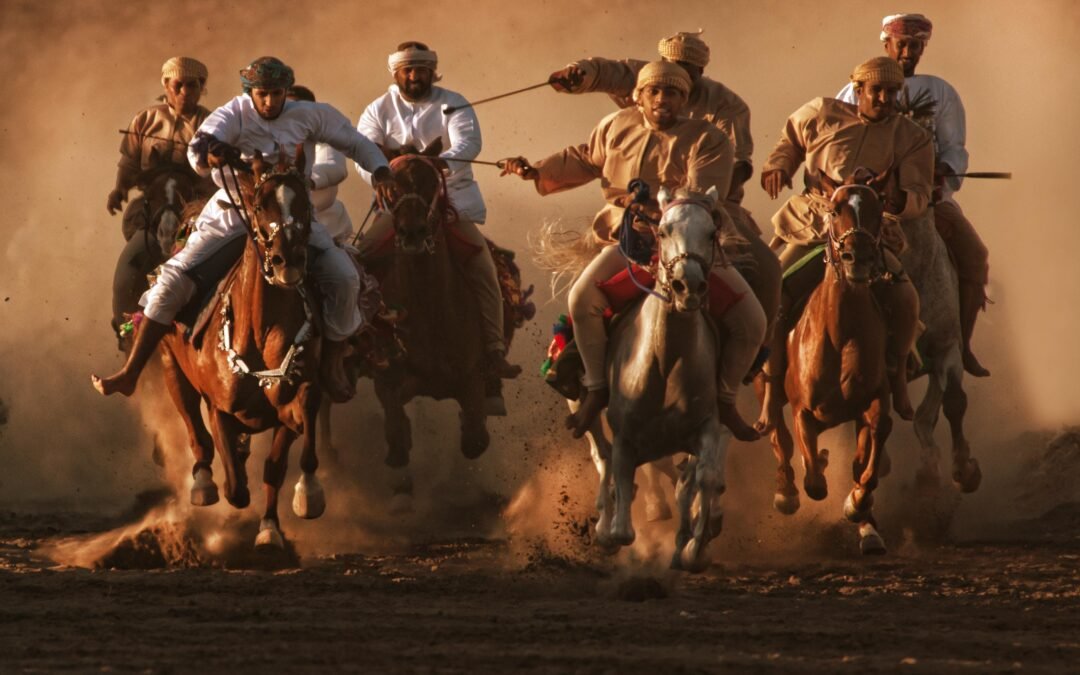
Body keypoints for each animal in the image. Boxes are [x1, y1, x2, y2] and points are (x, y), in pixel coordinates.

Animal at [156, 146, 324, 548]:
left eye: (306, 201)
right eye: (260, 205)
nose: (287, 260)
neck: (259, 333)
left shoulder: (296, 394)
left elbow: (280, 458)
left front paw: (282, 518)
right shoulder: (220, 408)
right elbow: (235, 486)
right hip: (172, 367)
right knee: (195, 429)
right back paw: (202, 481)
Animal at [773, 172, 898, 552]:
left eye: (878, 208)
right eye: (833, 209)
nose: (857, 257)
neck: (841, 334)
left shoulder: (873, 400)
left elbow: (873, 447)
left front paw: (857, 504)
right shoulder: (802, 407)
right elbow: (813, 479)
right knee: (775, 428)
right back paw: (786, 491)